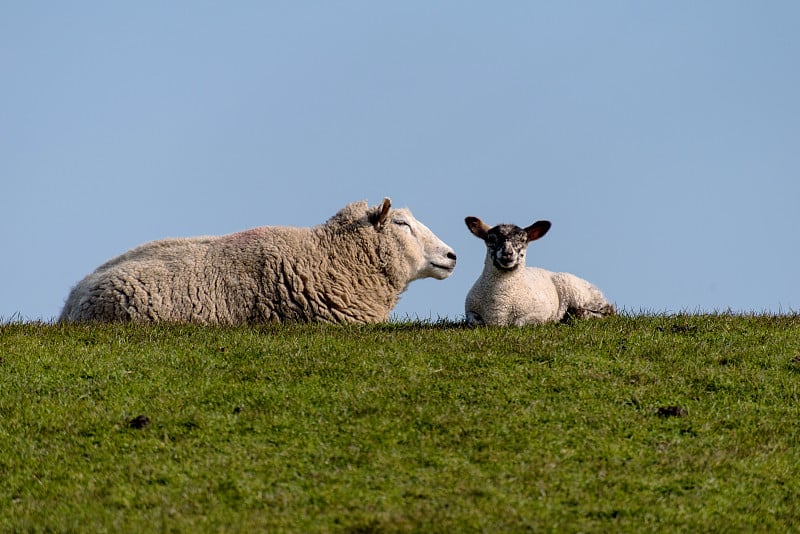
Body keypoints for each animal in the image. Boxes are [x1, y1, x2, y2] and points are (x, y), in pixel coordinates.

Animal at [462, 217, 612, 326]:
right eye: (491, 239)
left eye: (523, 240)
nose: (507, 254)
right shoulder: (470, 311)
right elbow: (474, 321)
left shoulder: (540, 313)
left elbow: (519, 323)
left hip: (583, 295)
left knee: (607, 310)